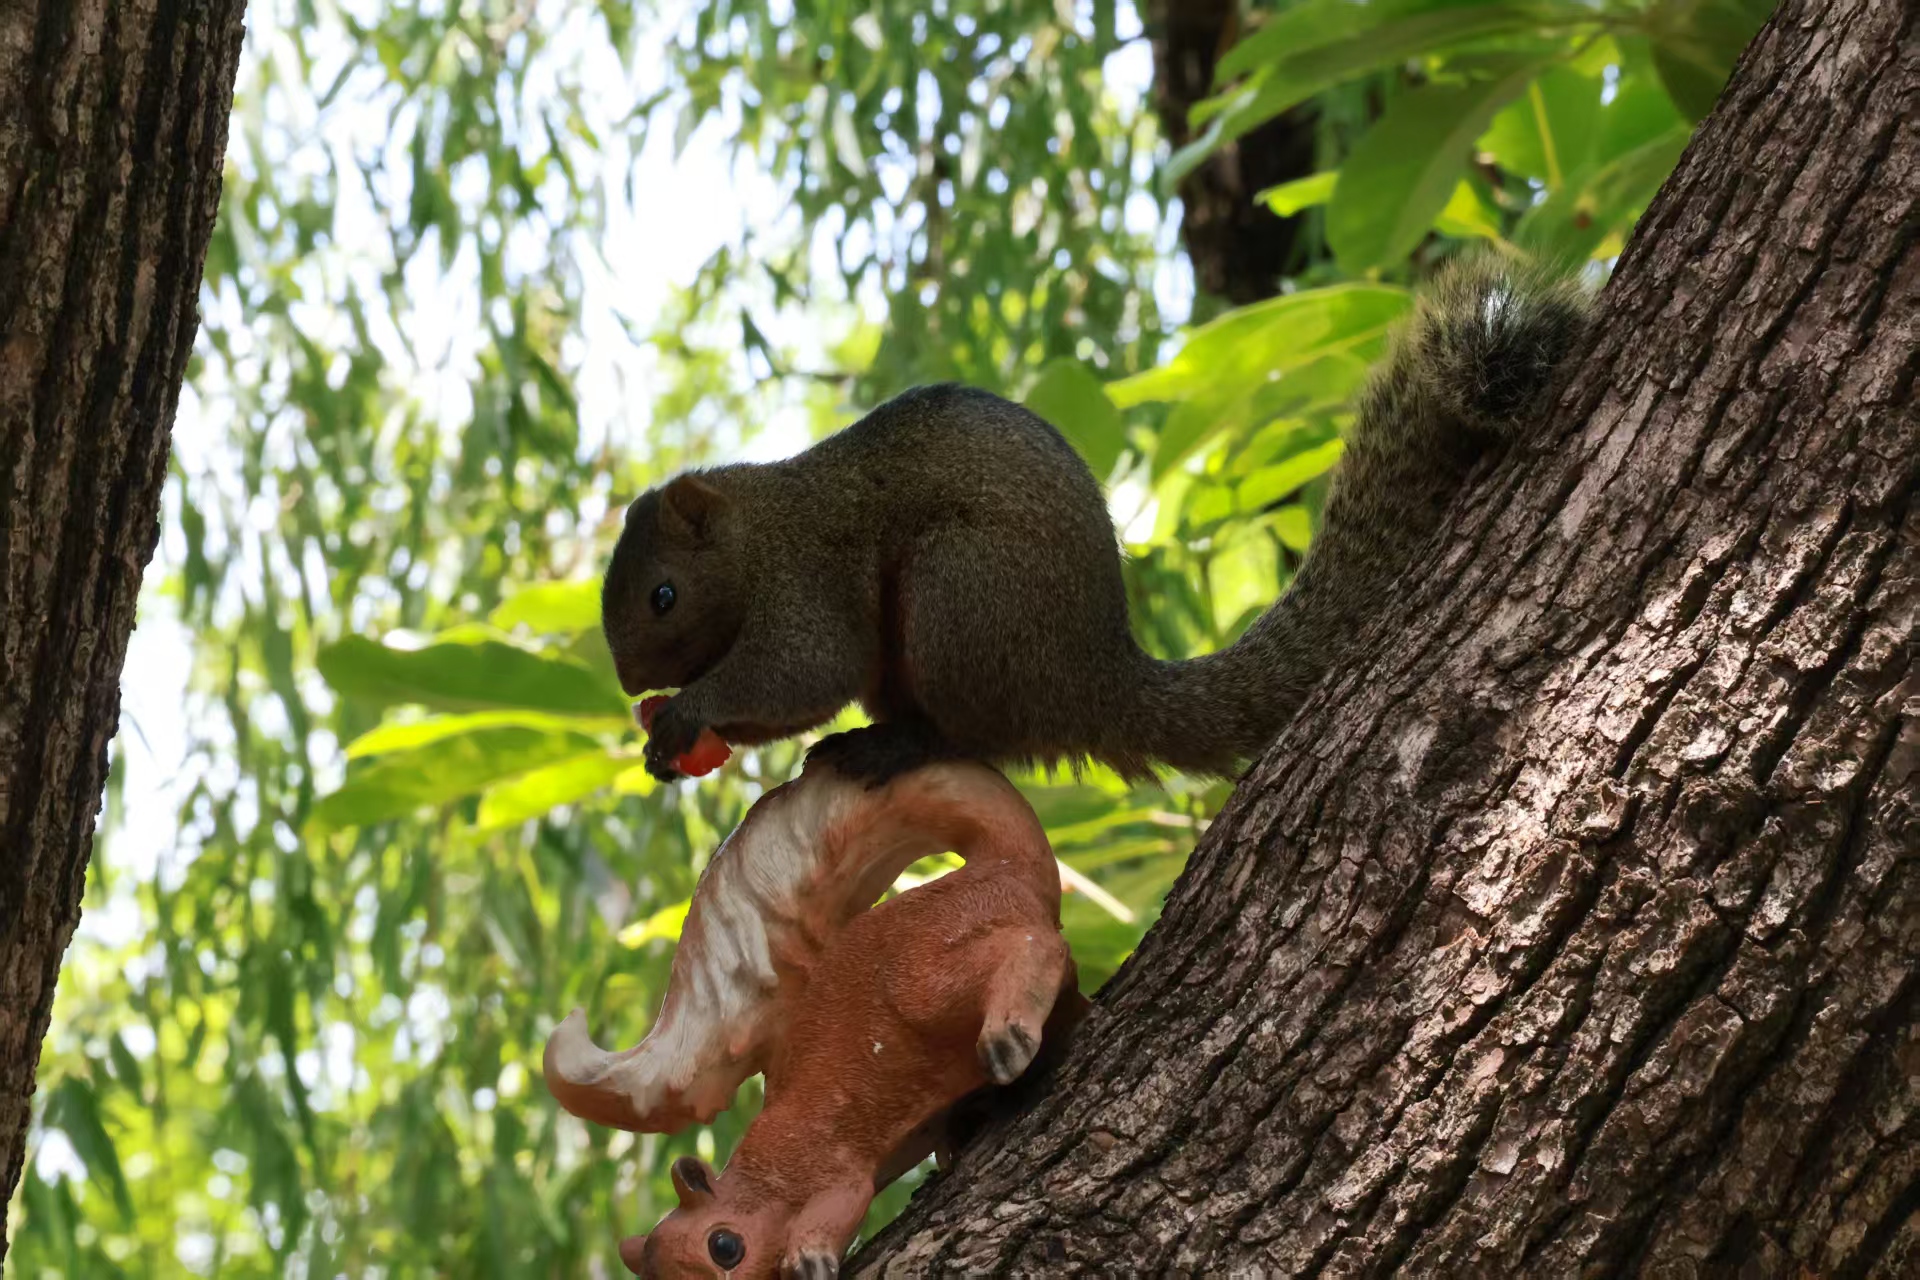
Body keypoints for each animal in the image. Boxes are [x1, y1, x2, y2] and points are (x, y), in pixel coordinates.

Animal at [604, 257, 1586, 784]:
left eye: (662, 595)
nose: (627, 683)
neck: (757, 529)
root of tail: (1095, 681)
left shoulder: (809, 572)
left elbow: (806, 669)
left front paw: (688, 711)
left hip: (962, 595)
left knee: (975, 738)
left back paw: (898, 745)